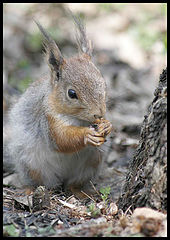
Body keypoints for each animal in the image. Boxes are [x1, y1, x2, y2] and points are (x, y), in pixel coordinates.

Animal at [6, 13, 112, 197]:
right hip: (31, 165)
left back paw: (80, 191)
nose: (98, 114)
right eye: (72, 93)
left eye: (104, 84)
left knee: (72, 185)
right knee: (41, 182)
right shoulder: (48, 119)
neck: (77, 119)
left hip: (92, 163)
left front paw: (107, 125)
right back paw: (31, 190)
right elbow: (61, 139)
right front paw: (86, 135)